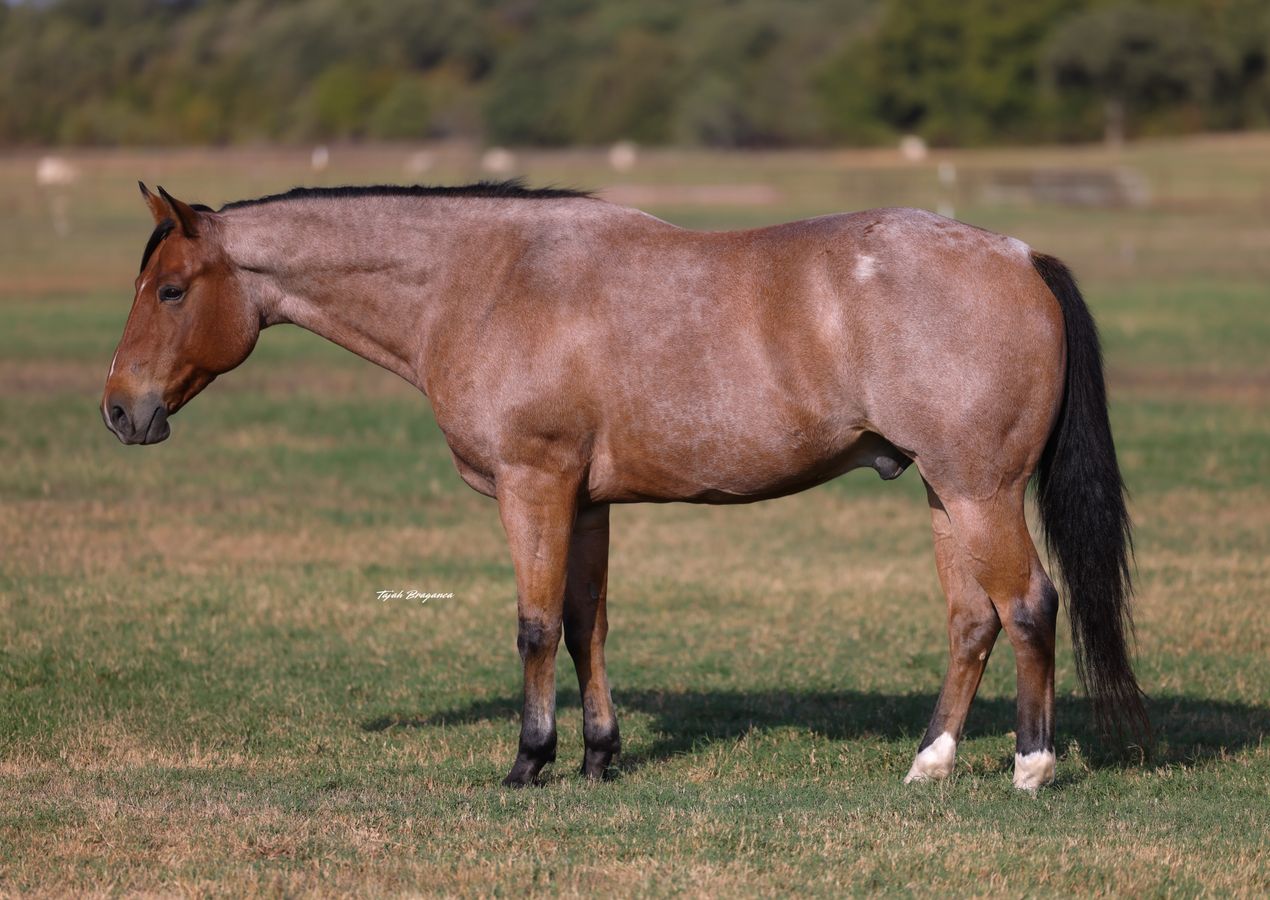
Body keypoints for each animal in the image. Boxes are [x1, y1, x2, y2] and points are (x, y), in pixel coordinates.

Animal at [103, 180, 1146, 790]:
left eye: (170, 290)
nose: (120, 410)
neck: (486, 279)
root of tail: (1020, 257)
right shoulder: (587, 501)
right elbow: (583, 626)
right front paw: (600, 756)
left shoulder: (534, 486)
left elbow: (532, 625)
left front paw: (529, 762)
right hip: (945, 494)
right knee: (972, 620)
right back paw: (930, 764)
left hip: (979, 491)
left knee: (1029, 604)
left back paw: (1031, 766)